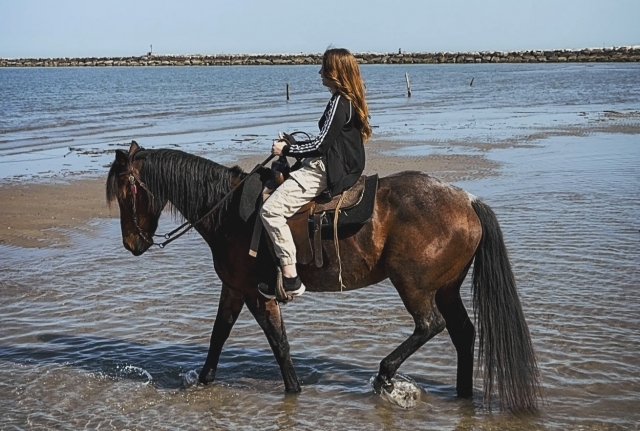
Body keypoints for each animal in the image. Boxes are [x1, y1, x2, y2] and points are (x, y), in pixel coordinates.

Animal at [106, 141, 541, 412]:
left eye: (126, 193)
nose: (131, 243)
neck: (229, 211)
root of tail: (467, 200)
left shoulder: (257, 294)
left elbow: (278, 344)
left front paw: (294, 392)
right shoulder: (234, 288)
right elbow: (218, 336)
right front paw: (202, 380)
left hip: (415, 286)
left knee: (429, 325)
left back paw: (385, 375)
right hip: (447, 288)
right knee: (463, 333)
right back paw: (462, 396)